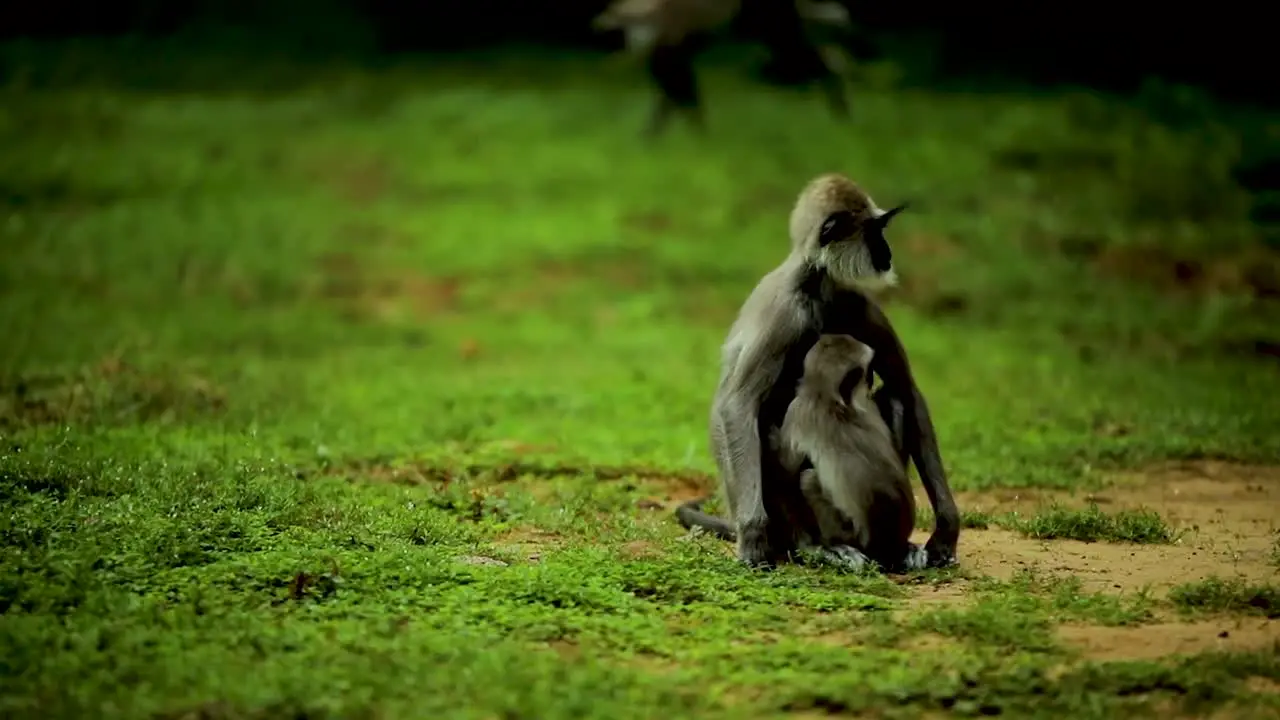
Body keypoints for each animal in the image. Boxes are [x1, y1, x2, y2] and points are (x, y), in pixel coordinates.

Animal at [773, 333, 926, 571]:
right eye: (867, 368)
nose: (871, 378)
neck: (830, 399)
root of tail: (888, 545)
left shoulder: (797, 412)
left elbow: (785, 478)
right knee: (893, 398)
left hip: (851, 532)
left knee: (807, 478)